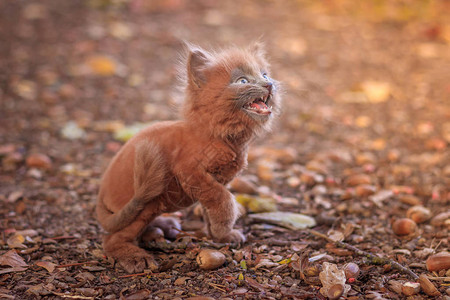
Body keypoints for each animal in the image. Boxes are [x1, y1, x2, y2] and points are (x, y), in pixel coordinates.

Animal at [96, 43, 280, 274]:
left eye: (264, 74)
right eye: (243, 81)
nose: (269, 84)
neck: (224, 137)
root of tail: (101, 194)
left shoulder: (216, 181)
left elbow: (212, 208)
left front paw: (221, 235)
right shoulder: (190, 172)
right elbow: (224, 200)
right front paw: (223, 229)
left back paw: (163, 227)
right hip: (144, 202)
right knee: (112, 239)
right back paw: (135, 257)